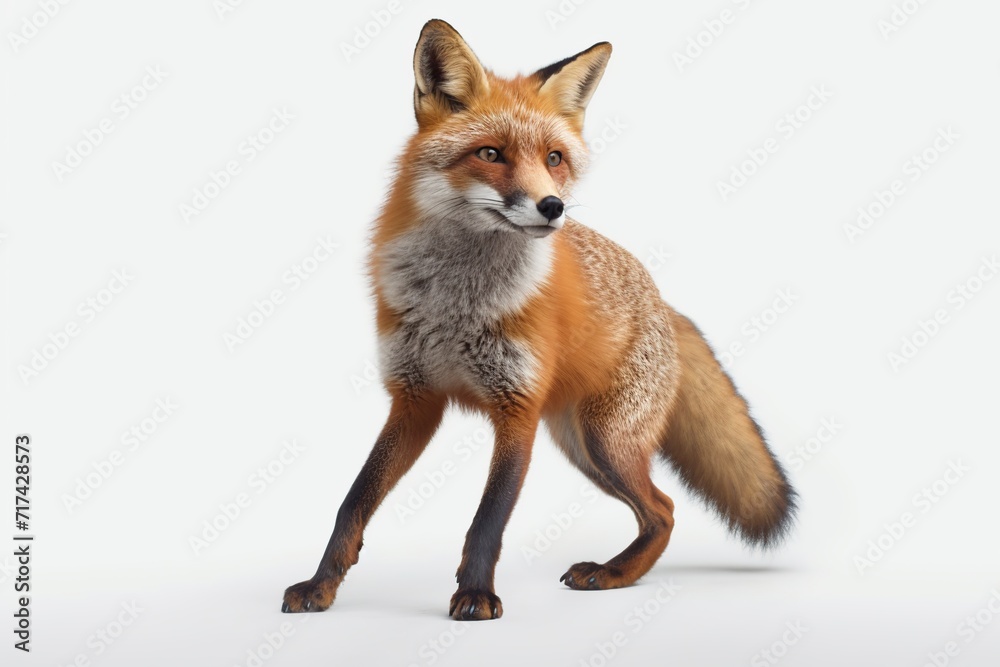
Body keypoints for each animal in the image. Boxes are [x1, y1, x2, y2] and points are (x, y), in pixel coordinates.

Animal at [281, 19, 796, 621]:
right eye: (490, 153)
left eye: (554, 158)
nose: (553, 207)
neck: (457, 305)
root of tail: (665, 305)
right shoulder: (414, 400)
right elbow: (354, 501)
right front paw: (322, 584)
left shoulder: (518, 407)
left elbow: (489, 518)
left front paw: (476, 595)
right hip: (581, 443)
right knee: (661, 509)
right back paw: (619, 573)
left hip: (604, 440)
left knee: (664, 508)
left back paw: (613, 573)